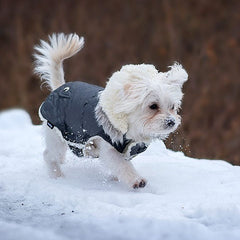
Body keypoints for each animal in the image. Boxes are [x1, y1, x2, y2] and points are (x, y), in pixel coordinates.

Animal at [33, 33, 188, 189]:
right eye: (153, 106)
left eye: (172, 107)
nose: (171, 122)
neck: (131, 129)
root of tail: (60, 88)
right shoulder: (109, 147)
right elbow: (122, 165)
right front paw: (136, 180)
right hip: (56, 135)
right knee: (49, 156)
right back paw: (56, 175)